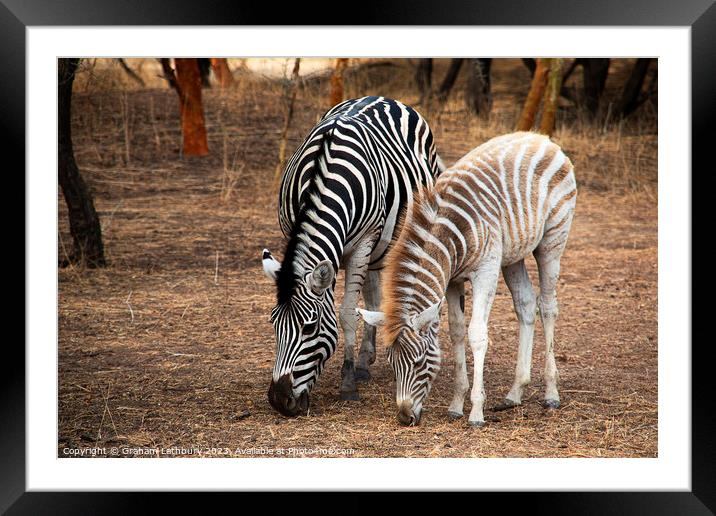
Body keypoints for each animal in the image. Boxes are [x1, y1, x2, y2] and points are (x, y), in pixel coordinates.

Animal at [260, 97, 444, 418]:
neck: (324, 175)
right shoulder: (295, 233)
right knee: (371, 290)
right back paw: (364, 360)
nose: (279, 401)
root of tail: (383, 97)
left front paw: (347, 384)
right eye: (274, 323)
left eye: (309, 327)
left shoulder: (363, 243)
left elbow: (346, 313)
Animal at [358, 131, 576, 426]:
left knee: (549, 307)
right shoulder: (452, 280)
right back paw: (515, 392)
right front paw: (456, 404)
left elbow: (477, 334)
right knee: (526, 305)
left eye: (419, 362)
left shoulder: (486, 271)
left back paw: (551, 393)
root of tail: (539, 137)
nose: (404, 418)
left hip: (552, 241)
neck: (449, 235)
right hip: (513, 254)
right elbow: (457, 331)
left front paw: (476, 411)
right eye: (392, 363)